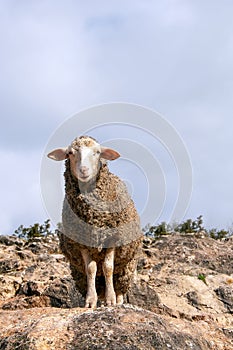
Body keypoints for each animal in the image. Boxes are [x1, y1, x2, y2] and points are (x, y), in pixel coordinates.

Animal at [47, 135, 142, 308]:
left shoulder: (112, 239)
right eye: (70, 153)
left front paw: (111, 299)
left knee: (119, 284)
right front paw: (90, 301)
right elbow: (91, 269)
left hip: (126, 267)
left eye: (97, 152)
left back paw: (117, 300)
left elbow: (107, 267)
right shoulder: (83, 242)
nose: (83, 170)